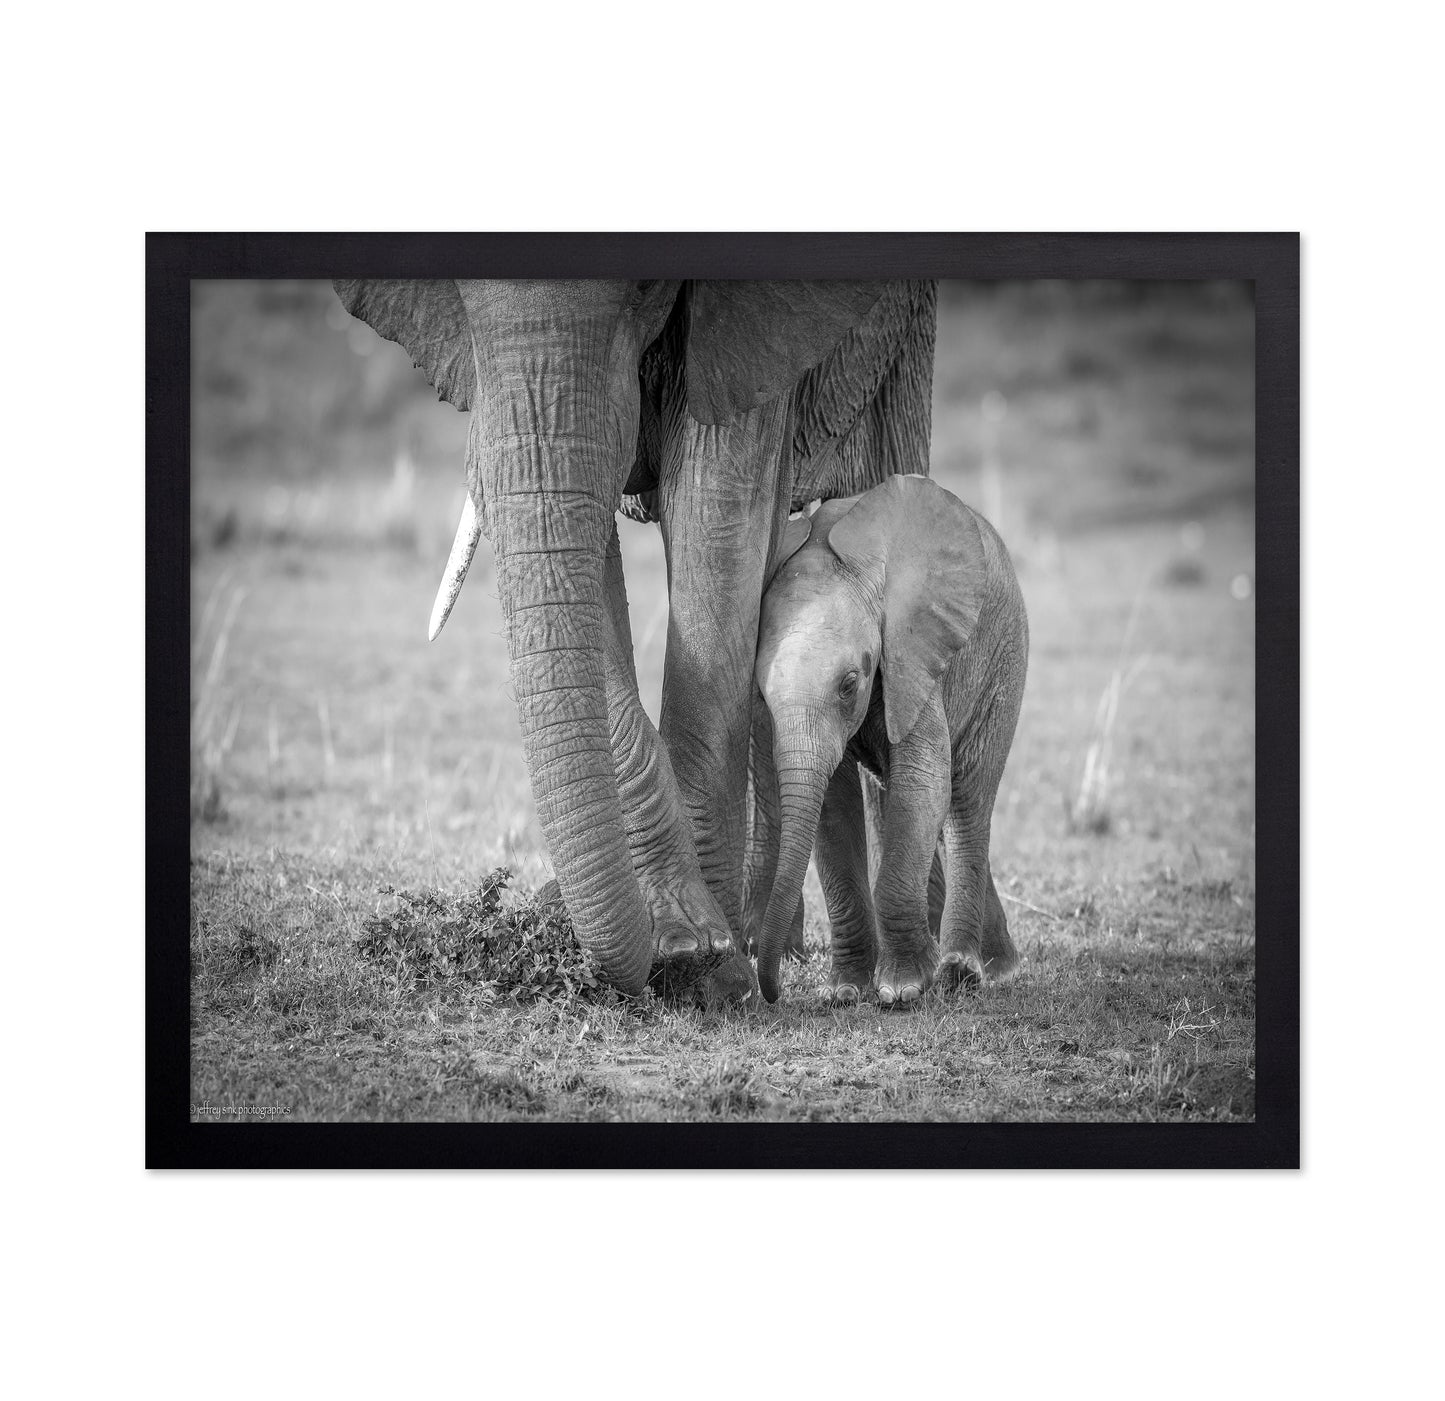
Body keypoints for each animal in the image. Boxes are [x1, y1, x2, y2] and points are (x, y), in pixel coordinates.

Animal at [750, 475, 1028, 1005]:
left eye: (849, 684)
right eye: (760, 692)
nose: (771, 994)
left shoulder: (912, 655)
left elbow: (923, 783)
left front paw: (902, 990)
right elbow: (833, 807)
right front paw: (845, 992)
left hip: (1004, 658)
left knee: (966, 800)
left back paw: (964, 972)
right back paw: (997, 966)